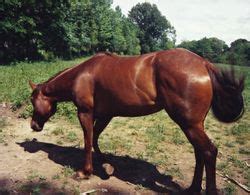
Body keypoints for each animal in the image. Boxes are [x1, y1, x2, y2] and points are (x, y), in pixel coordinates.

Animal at [29, 48, 244, 193]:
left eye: (32, 100)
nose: (33, 125)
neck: (82, 74)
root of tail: (204, 64)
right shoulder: (106, 115)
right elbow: (96, 138)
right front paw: (106, 165)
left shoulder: (85, 113)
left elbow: (88, 140)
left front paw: (85, 172)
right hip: (193, 125)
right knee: (200, 153)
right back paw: (192, 188)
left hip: (189, 124)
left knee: (209, 151)